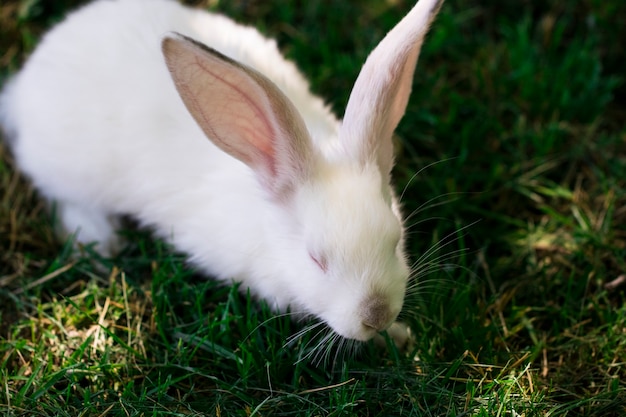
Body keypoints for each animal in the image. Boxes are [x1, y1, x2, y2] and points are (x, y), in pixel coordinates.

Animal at [0, 0, 442, 342]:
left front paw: (400, 336)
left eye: (395, 240)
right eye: (317, 260)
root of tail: (22, 88)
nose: (376, 314)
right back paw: (100, 240)